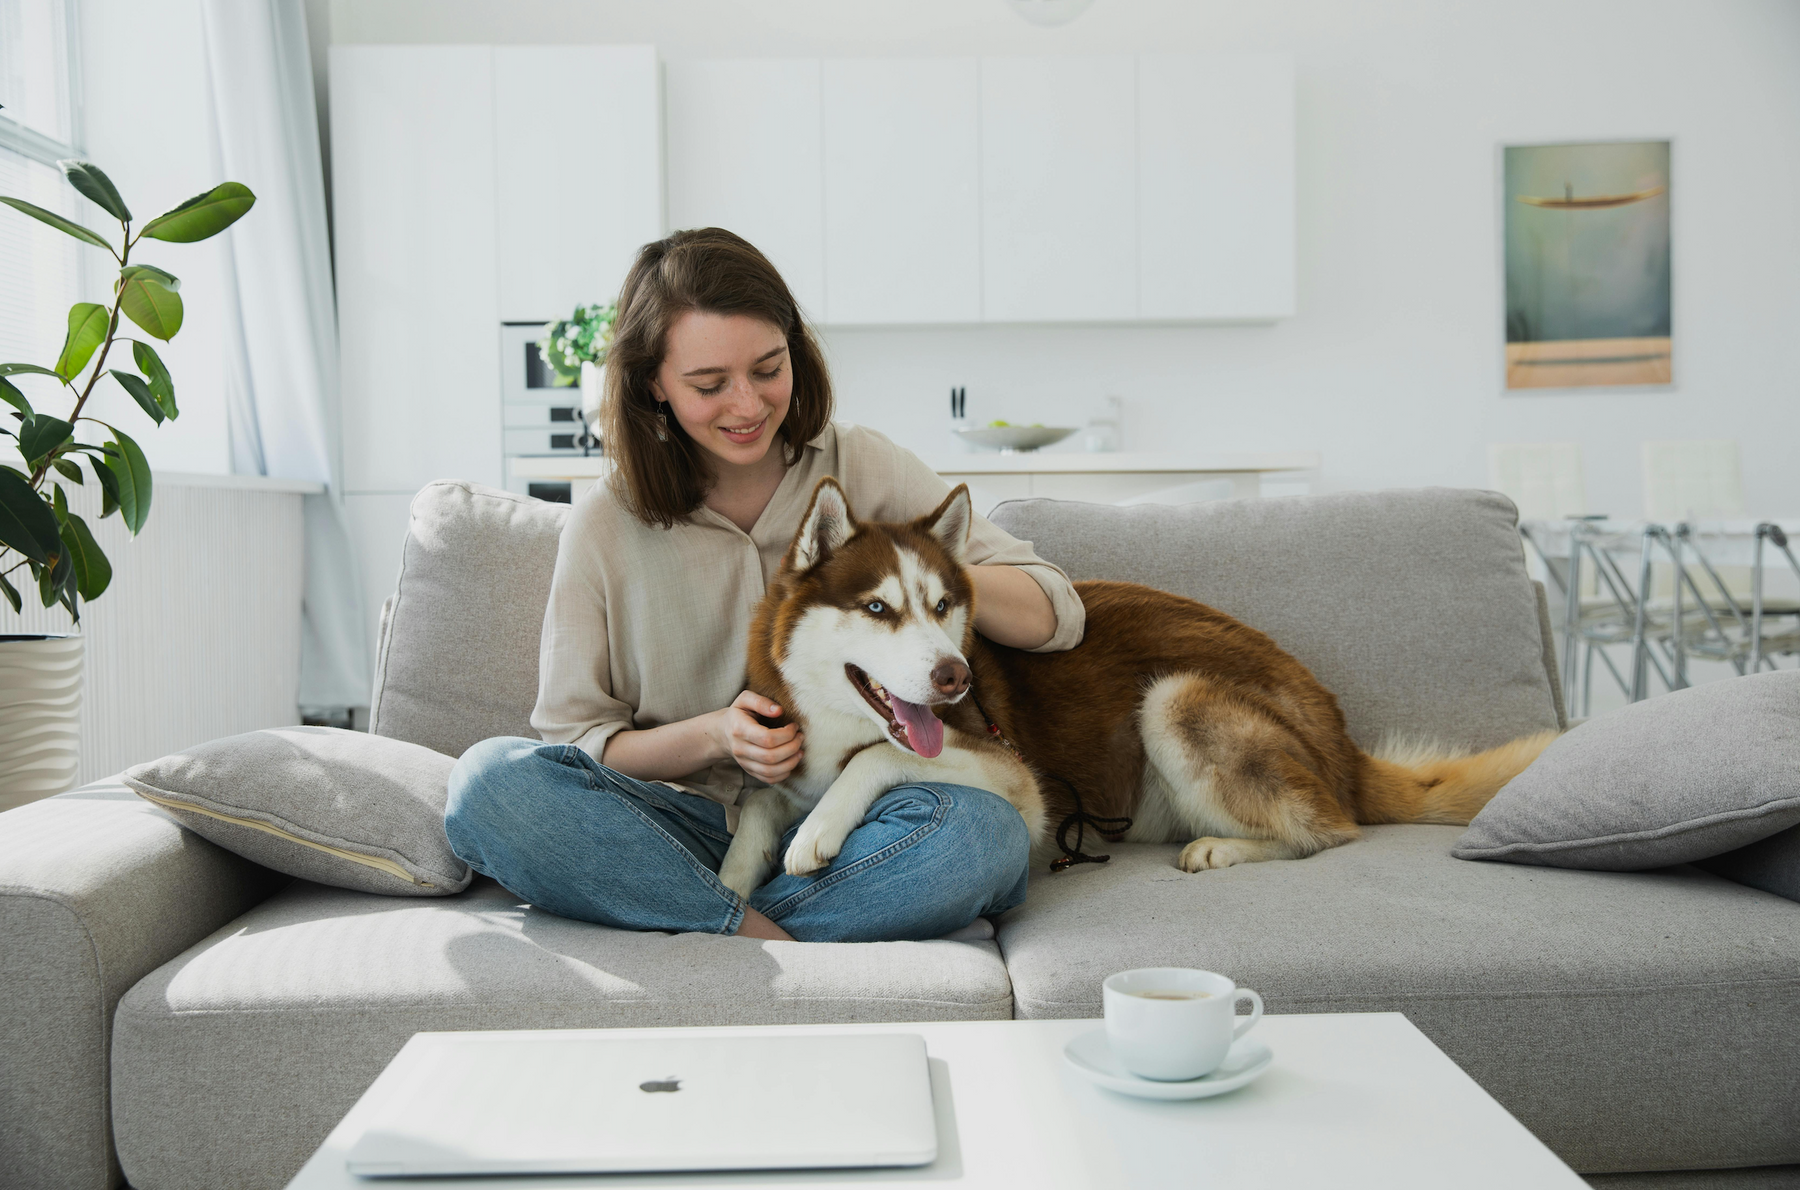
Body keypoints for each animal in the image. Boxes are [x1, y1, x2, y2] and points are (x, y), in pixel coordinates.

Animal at [709, 471, 1555, 892]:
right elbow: (758, 806)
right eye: (879, 608)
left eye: (943, 606)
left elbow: (877, 758)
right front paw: (730, 884)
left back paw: (1225, 850)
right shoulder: (785, 758)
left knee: (1331, 830)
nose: (953, 675)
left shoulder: (1016, 779)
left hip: (1177, 697)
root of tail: (1342, 739)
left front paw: (817, 831)